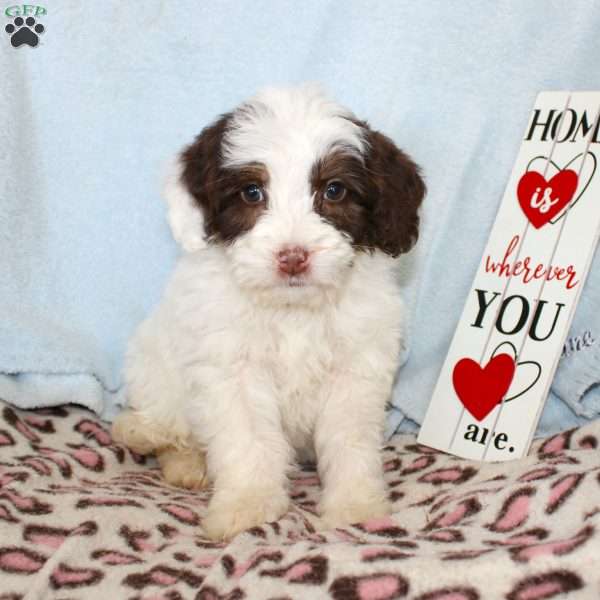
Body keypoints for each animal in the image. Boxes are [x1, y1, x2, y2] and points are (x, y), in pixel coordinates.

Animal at [111, 83, 422, 540]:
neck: (292, 309)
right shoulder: (232, 369)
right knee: (171, 422)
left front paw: (355, 505)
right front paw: (248, 505)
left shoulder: (356, 367)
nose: (293, 257)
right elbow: (248, 439)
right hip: (152, 362)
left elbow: (349, 438)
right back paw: (159, 442)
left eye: (334, 191)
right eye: (252, 193)